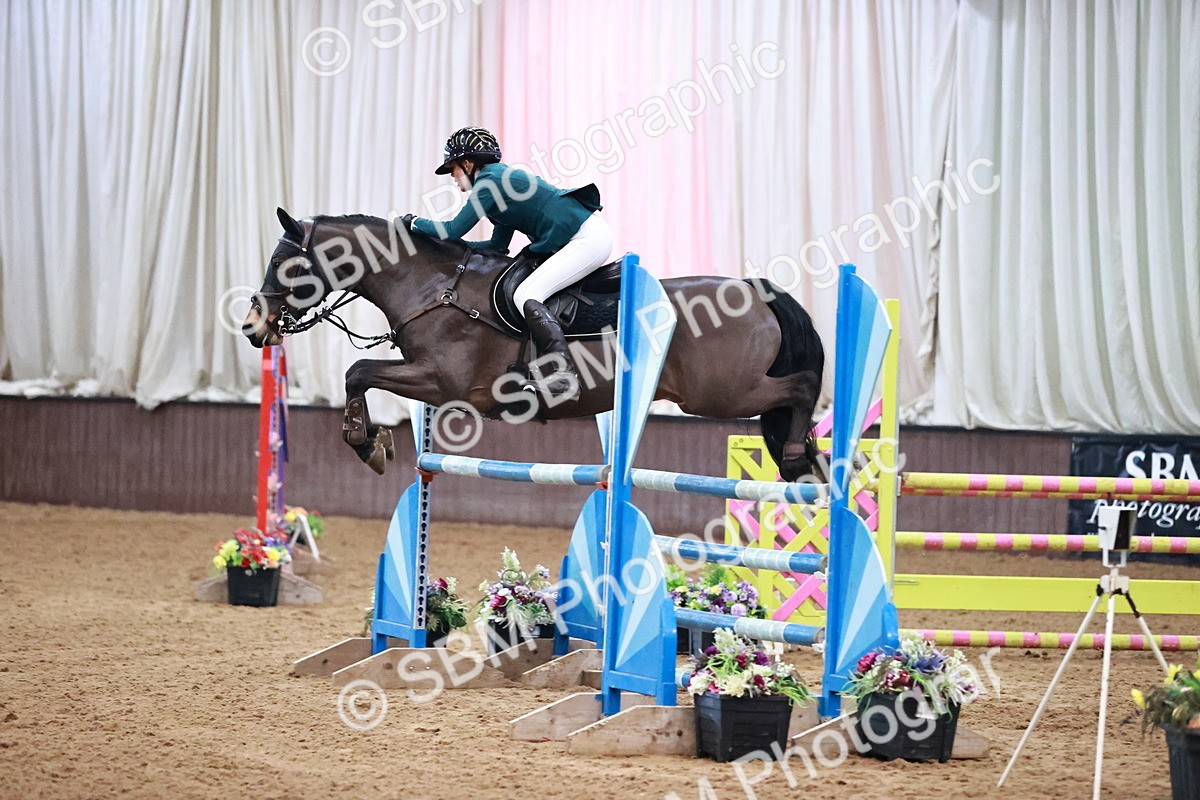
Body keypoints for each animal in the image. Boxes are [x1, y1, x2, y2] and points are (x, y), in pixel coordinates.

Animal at [242, 208, 825, 482]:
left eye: (285, 263)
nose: (253, 327)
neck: (432, 286)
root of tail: (754, 290)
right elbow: (358, 375)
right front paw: (377, 443)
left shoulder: (444, 384)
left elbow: (358, 372)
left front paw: (368, 445)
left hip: (721, 392)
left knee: (801, 386)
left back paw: (799, 453)